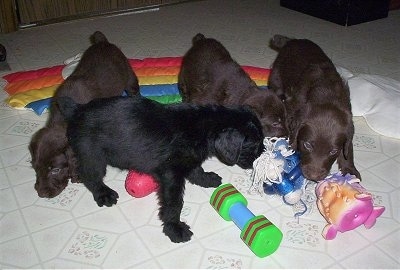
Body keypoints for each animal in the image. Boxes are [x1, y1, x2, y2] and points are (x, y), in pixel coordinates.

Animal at [29, 30, 139, 197]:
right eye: (35, 168)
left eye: (55, 170)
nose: (42, 194)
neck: (62, 120)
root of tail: (102, 42)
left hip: (128, 76)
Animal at [57, 95, 264, 243]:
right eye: (254, 145)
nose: (263, 155)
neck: (203, 127)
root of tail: (77, 110)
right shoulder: (171, 175)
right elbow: (174, 203)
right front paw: (175, 228)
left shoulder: (187, 160)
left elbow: (196, 170)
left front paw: (207, 179)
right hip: (92, 155)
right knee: (90, 176)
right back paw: (104, 194)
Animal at [268, 34, 360, 181]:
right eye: (307, 145)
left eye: (333, 151)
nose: (313, 177)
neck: (327, 95)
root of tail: (292, 40)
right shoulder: (293, 107)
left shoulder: (348, 118)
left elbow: (348, 147)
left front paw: (350, 169)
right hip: (277, 77)